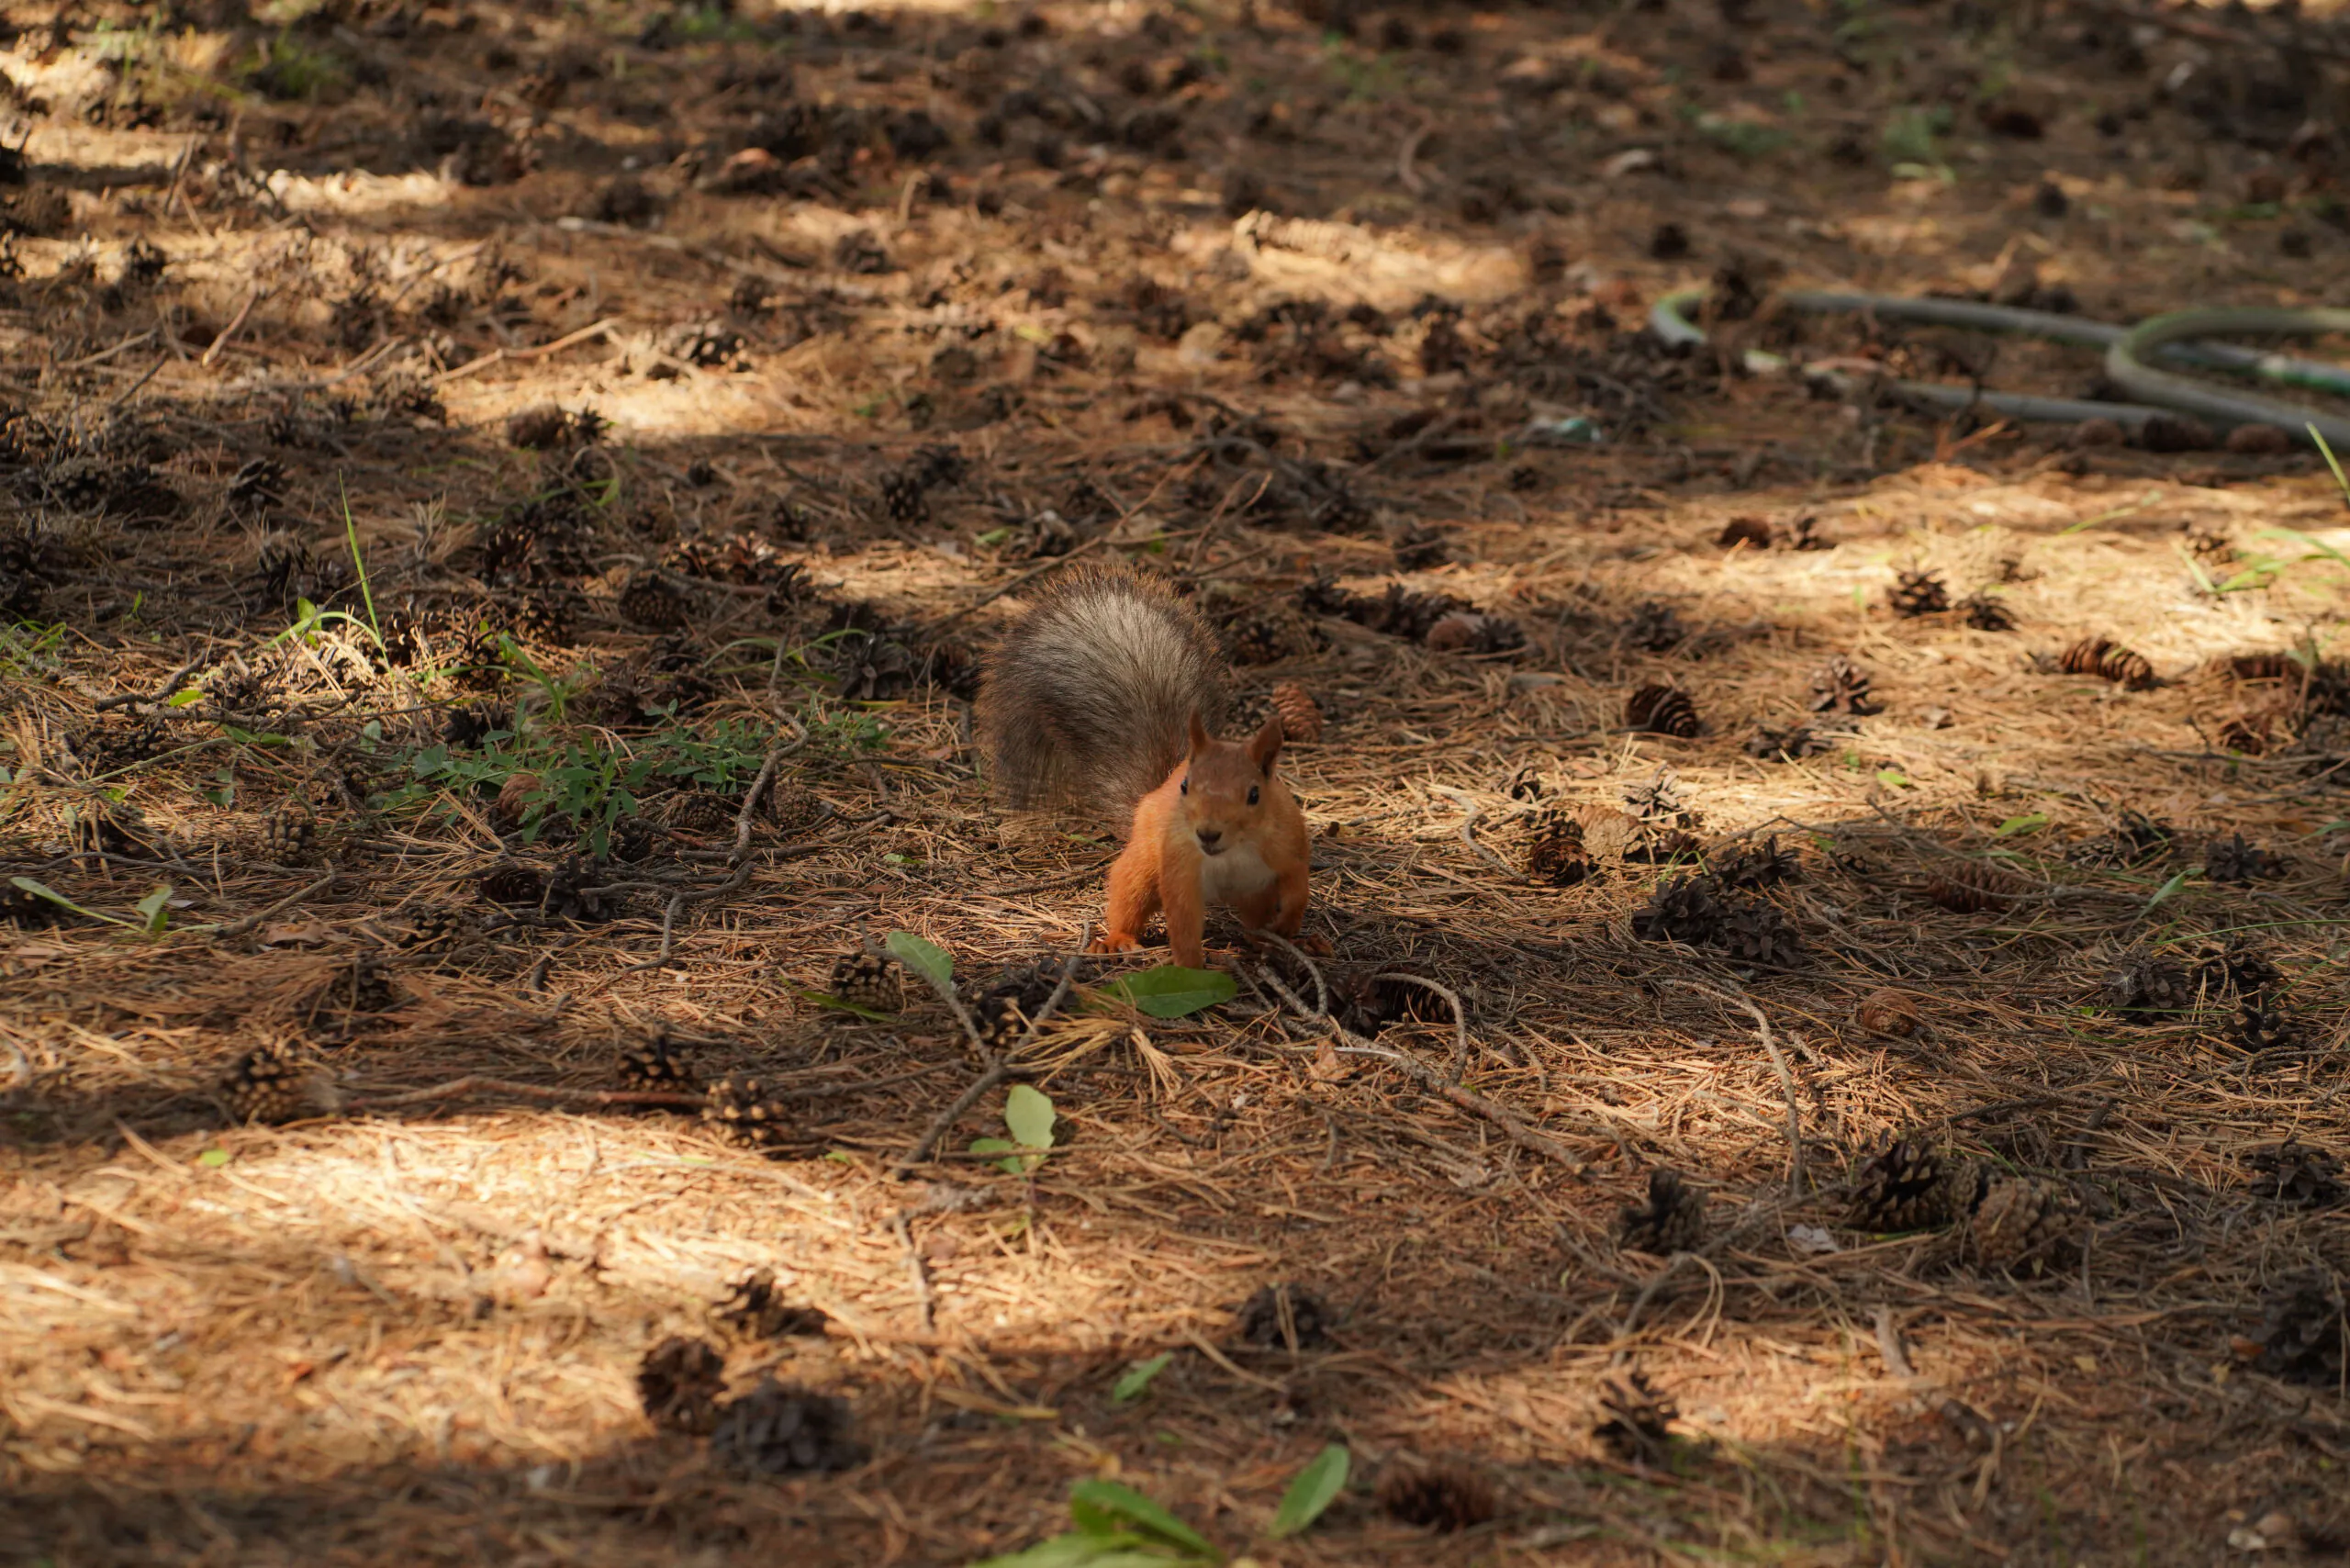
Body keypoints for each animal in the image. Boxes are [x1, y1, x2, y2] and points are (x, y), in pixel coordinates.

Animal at [968, 556, 1315, 963]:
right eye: (1187, 788)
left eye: (1255, 794)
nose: (1207, 832)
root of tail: (1153, 792)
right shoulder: (1177, 869)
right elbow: (1180, 920)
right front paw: (1193, 967)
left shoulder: (1288, 847)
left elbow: (1297, 886)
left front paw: (1290, 927)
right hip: (1144, 859)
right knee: (1128, 892)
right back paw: (1118, 938)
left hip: (1253, 895)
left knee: (1254, 921)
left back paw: (1277, 942)